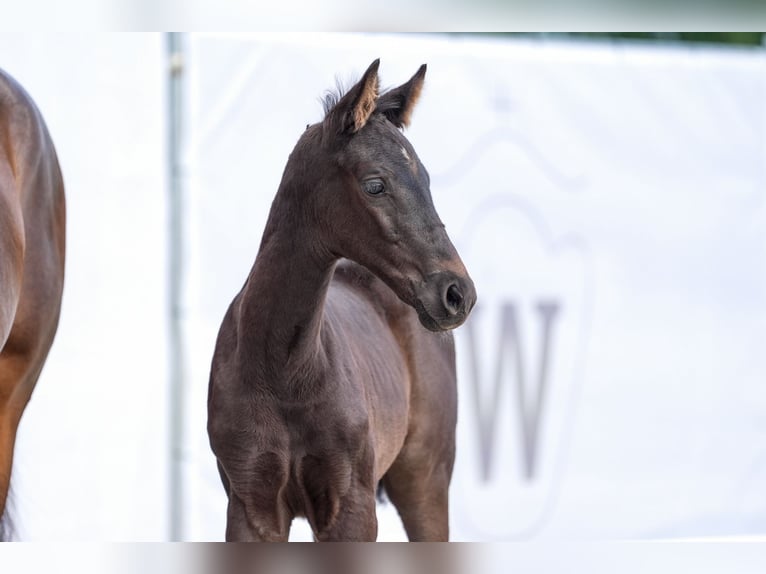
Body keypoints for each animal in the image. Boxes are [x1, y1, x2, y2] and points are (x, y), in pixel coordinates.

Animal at [207, 60, 476, 544]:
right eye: (375, 185)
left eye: (426, 179)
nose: (457, 293)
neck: (285, 369)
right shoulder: (250, 509)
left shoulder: (351, 509)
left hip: (425, 481)